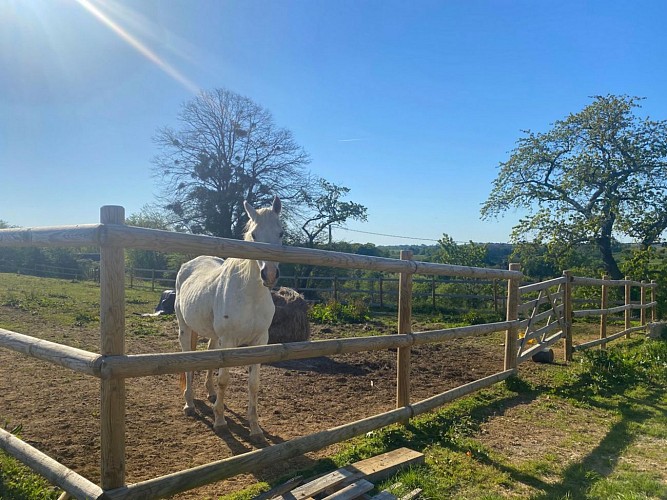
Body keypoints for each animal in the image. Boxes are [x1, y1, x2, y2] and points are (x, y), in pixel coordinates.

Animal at [175, 196, 283, 439]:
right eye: (254, 235)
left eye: (281, 233)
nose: (270, 275)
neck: (249, 294)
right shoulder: (230, 342)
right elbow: (224, 379)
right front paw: (220, 421)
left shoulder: (260, 341)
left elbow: (253, 384)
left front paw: (255, 428)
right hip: (185, 329)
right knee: (187, 362)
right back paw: (189, 404)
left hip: (215, 337)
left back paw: (211, 394)